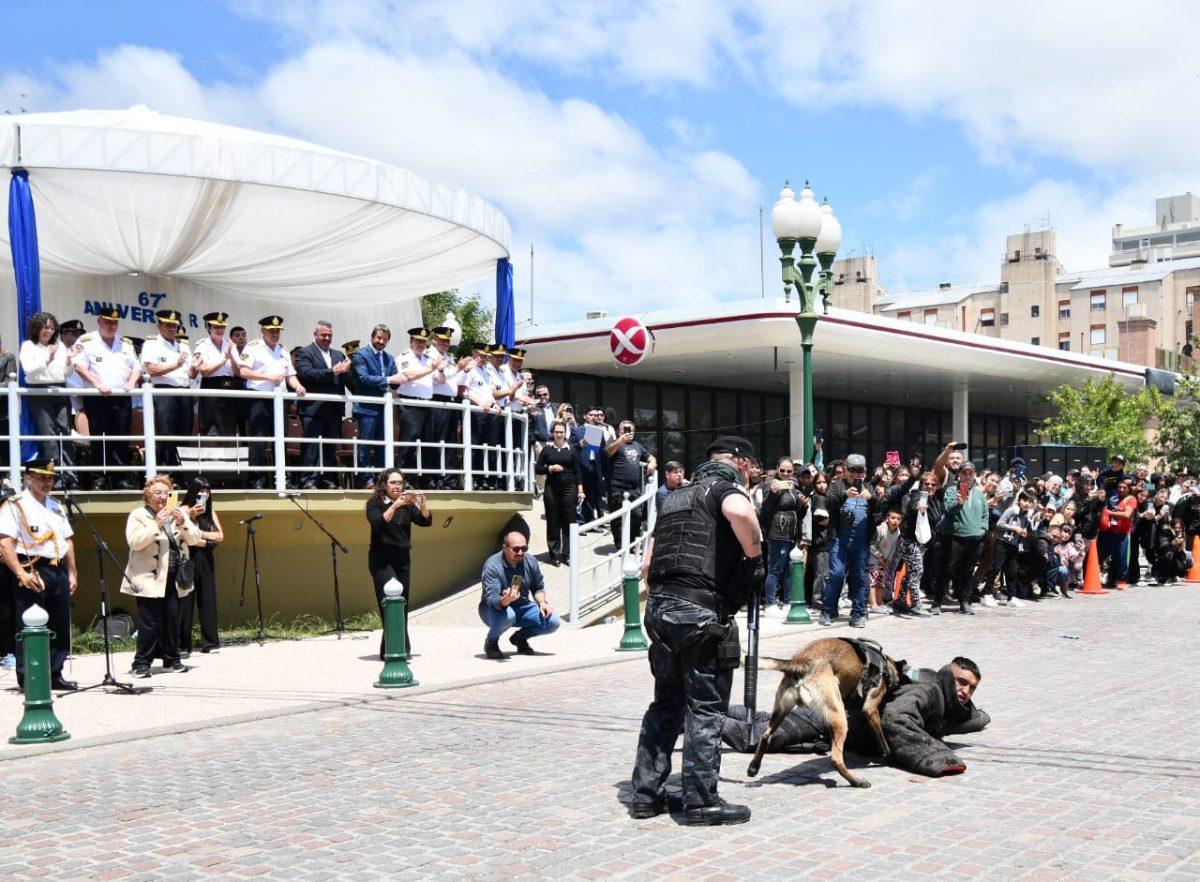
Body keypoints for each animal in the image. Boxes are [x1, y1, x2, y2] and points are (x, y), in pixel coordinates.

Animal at [744, 638, 902, 792]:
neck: (885, 665)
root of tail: (801, 661)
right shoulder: (870, 708)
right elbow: (881, 737)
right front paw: (887, 755)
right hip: (839, 718)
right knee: (836, 759)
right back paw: (857, 782)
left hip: (783, 710)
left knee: (765, 736)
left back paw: (753, 767)